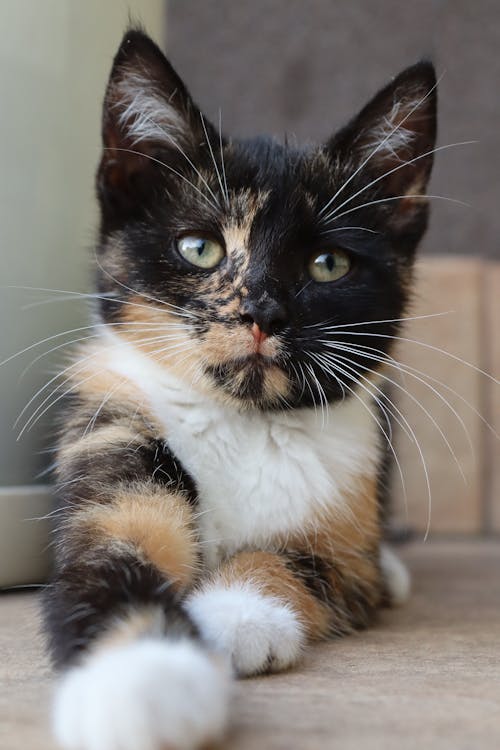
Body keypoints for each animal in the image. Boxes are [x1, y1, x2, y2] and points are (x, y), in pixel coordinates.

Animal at [47, 27, 436, 750]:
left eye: (328, 264)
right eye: (199, 248)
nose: (261, 311)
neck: (243, 418)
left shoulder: (351, 483)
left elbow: (316, 562)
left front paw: (232, 617)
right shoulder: (113, 421)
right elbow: (108, 559)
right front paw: (142, 682)